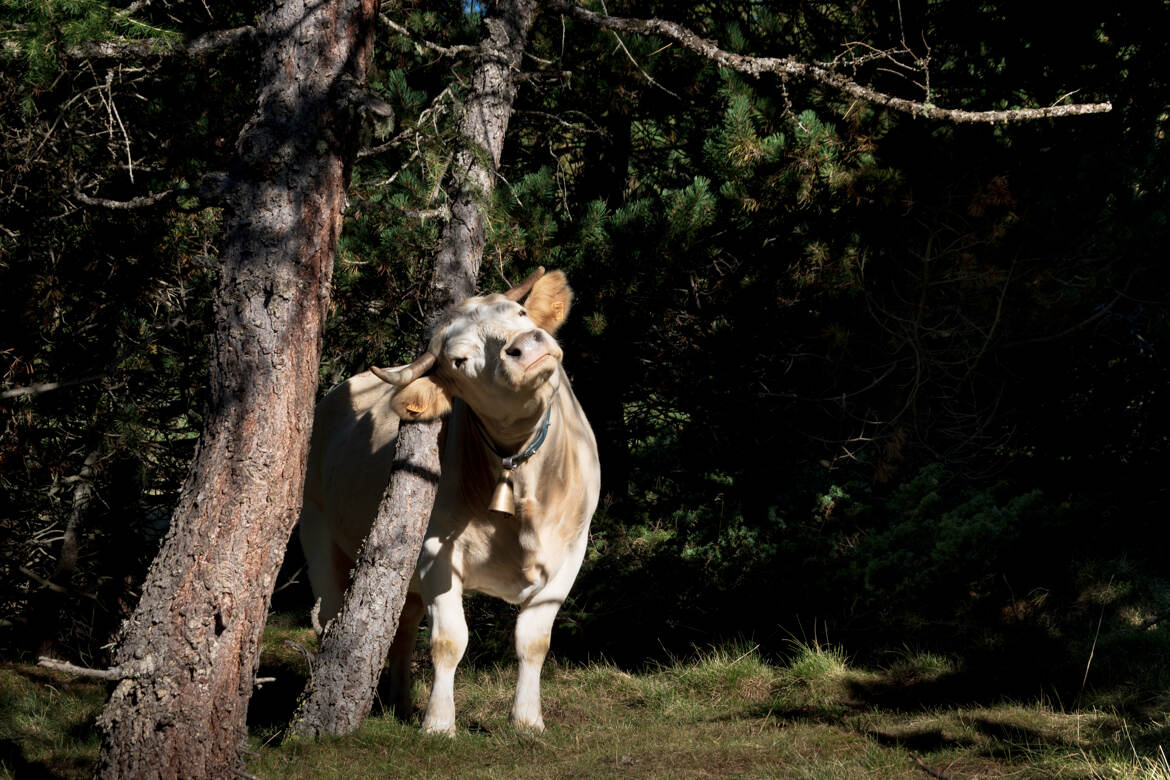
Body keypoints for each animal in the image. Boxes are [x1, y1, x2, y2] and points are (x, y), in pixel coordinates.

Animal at [297, 266, 599, 734]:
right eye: (459, 360)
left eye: (520, 313)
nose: (528, 344)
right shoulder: (435, 550)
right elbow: (448, 641)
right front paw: (439, 724)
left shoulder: (571, 550)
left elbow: (533, 640)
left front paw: (528, 721)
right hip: (319, 539)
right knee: (330, 621)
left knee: (402, 629)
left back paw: (401, 702)